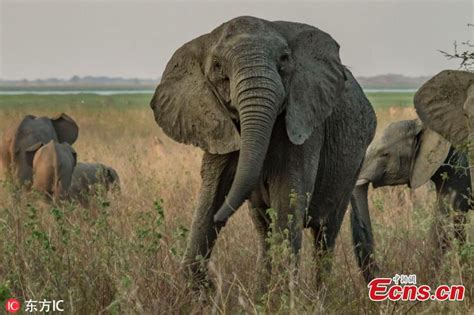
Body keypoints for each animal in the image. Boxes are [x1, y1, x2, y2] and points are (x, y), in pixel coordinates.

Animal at [150, 16, 376, 288]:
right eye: (217, 67)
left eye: (284, 60)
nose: (220, 218)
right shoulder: (217, 125)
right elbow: (212, 190)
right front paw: (196, 290)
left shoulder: (304, 120)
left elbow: (288, 194)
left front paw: (282, 293)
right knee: (263, 228)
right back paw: (262, 288)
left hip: (354, 162)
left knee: (325, 232)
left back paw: (317, 293)